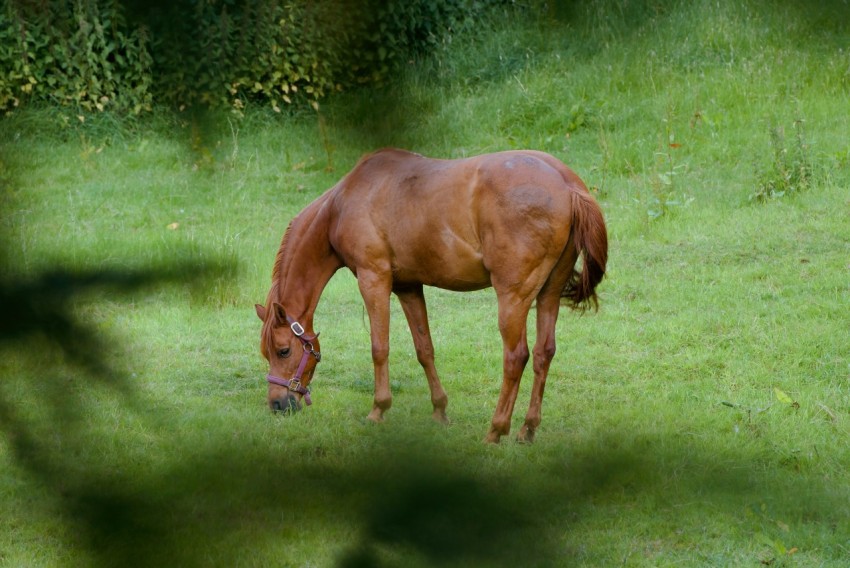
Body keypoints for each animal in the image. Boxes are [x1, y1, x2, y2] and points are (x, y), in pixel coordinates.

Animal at [255, 148, 608, 444]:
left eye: (284, 351)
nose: (277, 404)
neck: (342, 205)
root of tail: (567, 183)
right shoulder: (408, 287)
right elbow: (424, 349)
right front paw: (440, 410)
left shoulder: (374, 279)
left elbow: (379, 348)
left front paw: (378, 409)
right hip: (549, 293)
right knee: (543, 353)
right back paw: (527, 429)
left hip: (513, 297)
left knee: (516, 356)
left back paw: (496, 430)